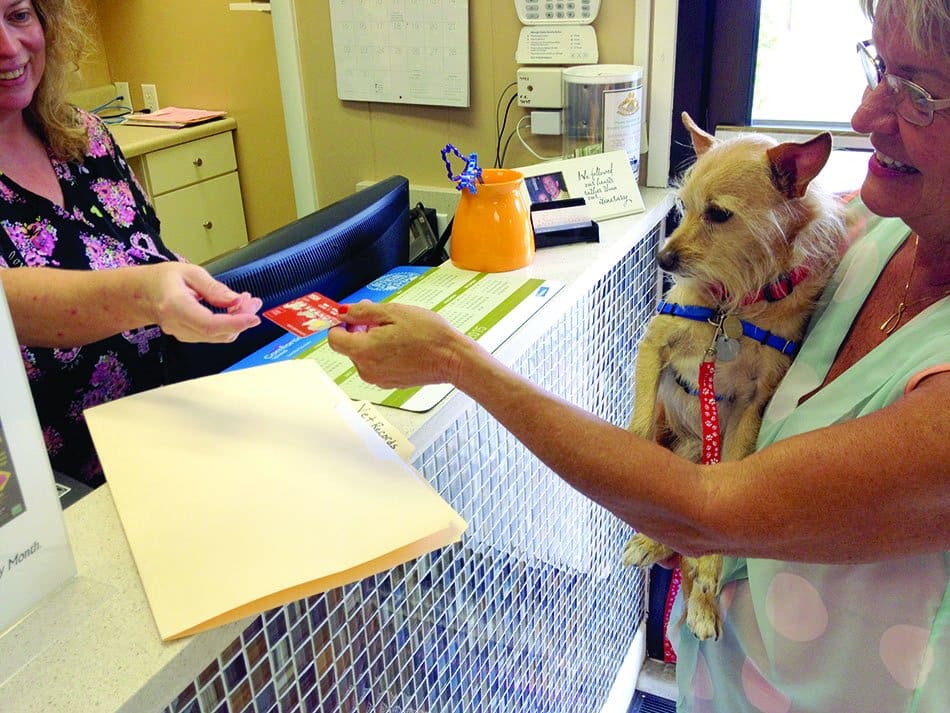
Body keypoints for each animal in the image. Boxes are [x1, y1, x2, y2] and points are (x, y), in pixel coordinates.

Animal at [628, 111, 844, 640]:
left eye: (719, 214)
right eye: (682, 207)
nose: (662, 260)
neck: (733, 307)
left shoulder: (753, 405)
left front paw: (709, 569)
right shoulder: (654, 346)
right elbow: (640, 426)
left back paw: (700, 597)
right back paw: (647, 541)